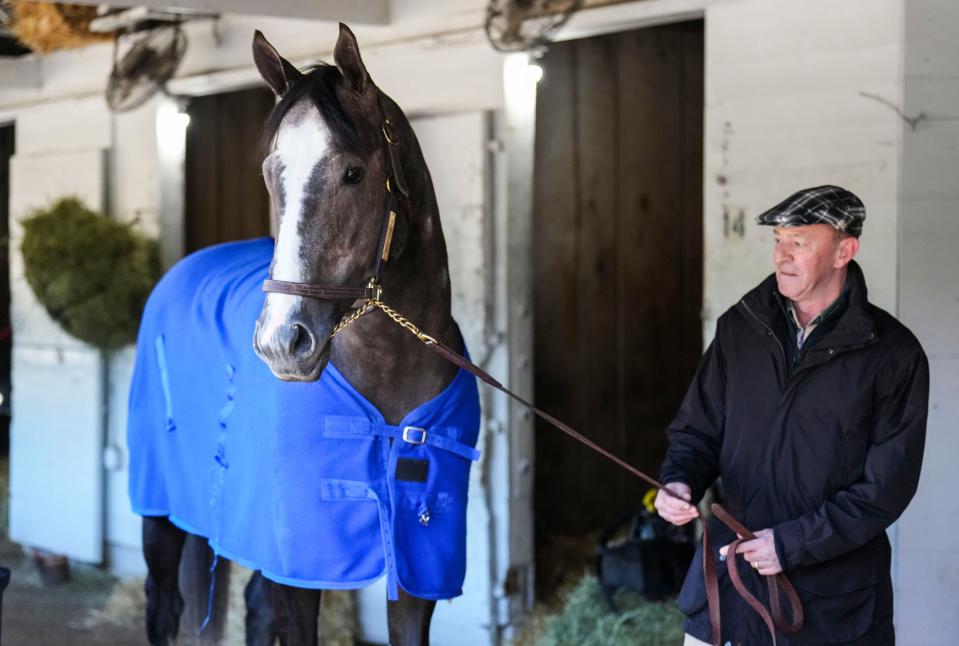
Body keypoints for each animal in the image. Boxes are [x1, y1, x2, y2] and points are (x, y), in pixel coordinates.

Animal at [129, 25, 480, 646]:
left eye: (353, 173)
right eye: (271, 173)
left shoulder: (419, 571)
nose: (281, 343)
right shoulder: (297, 568)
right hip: (159, 508)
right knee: (162, 602)